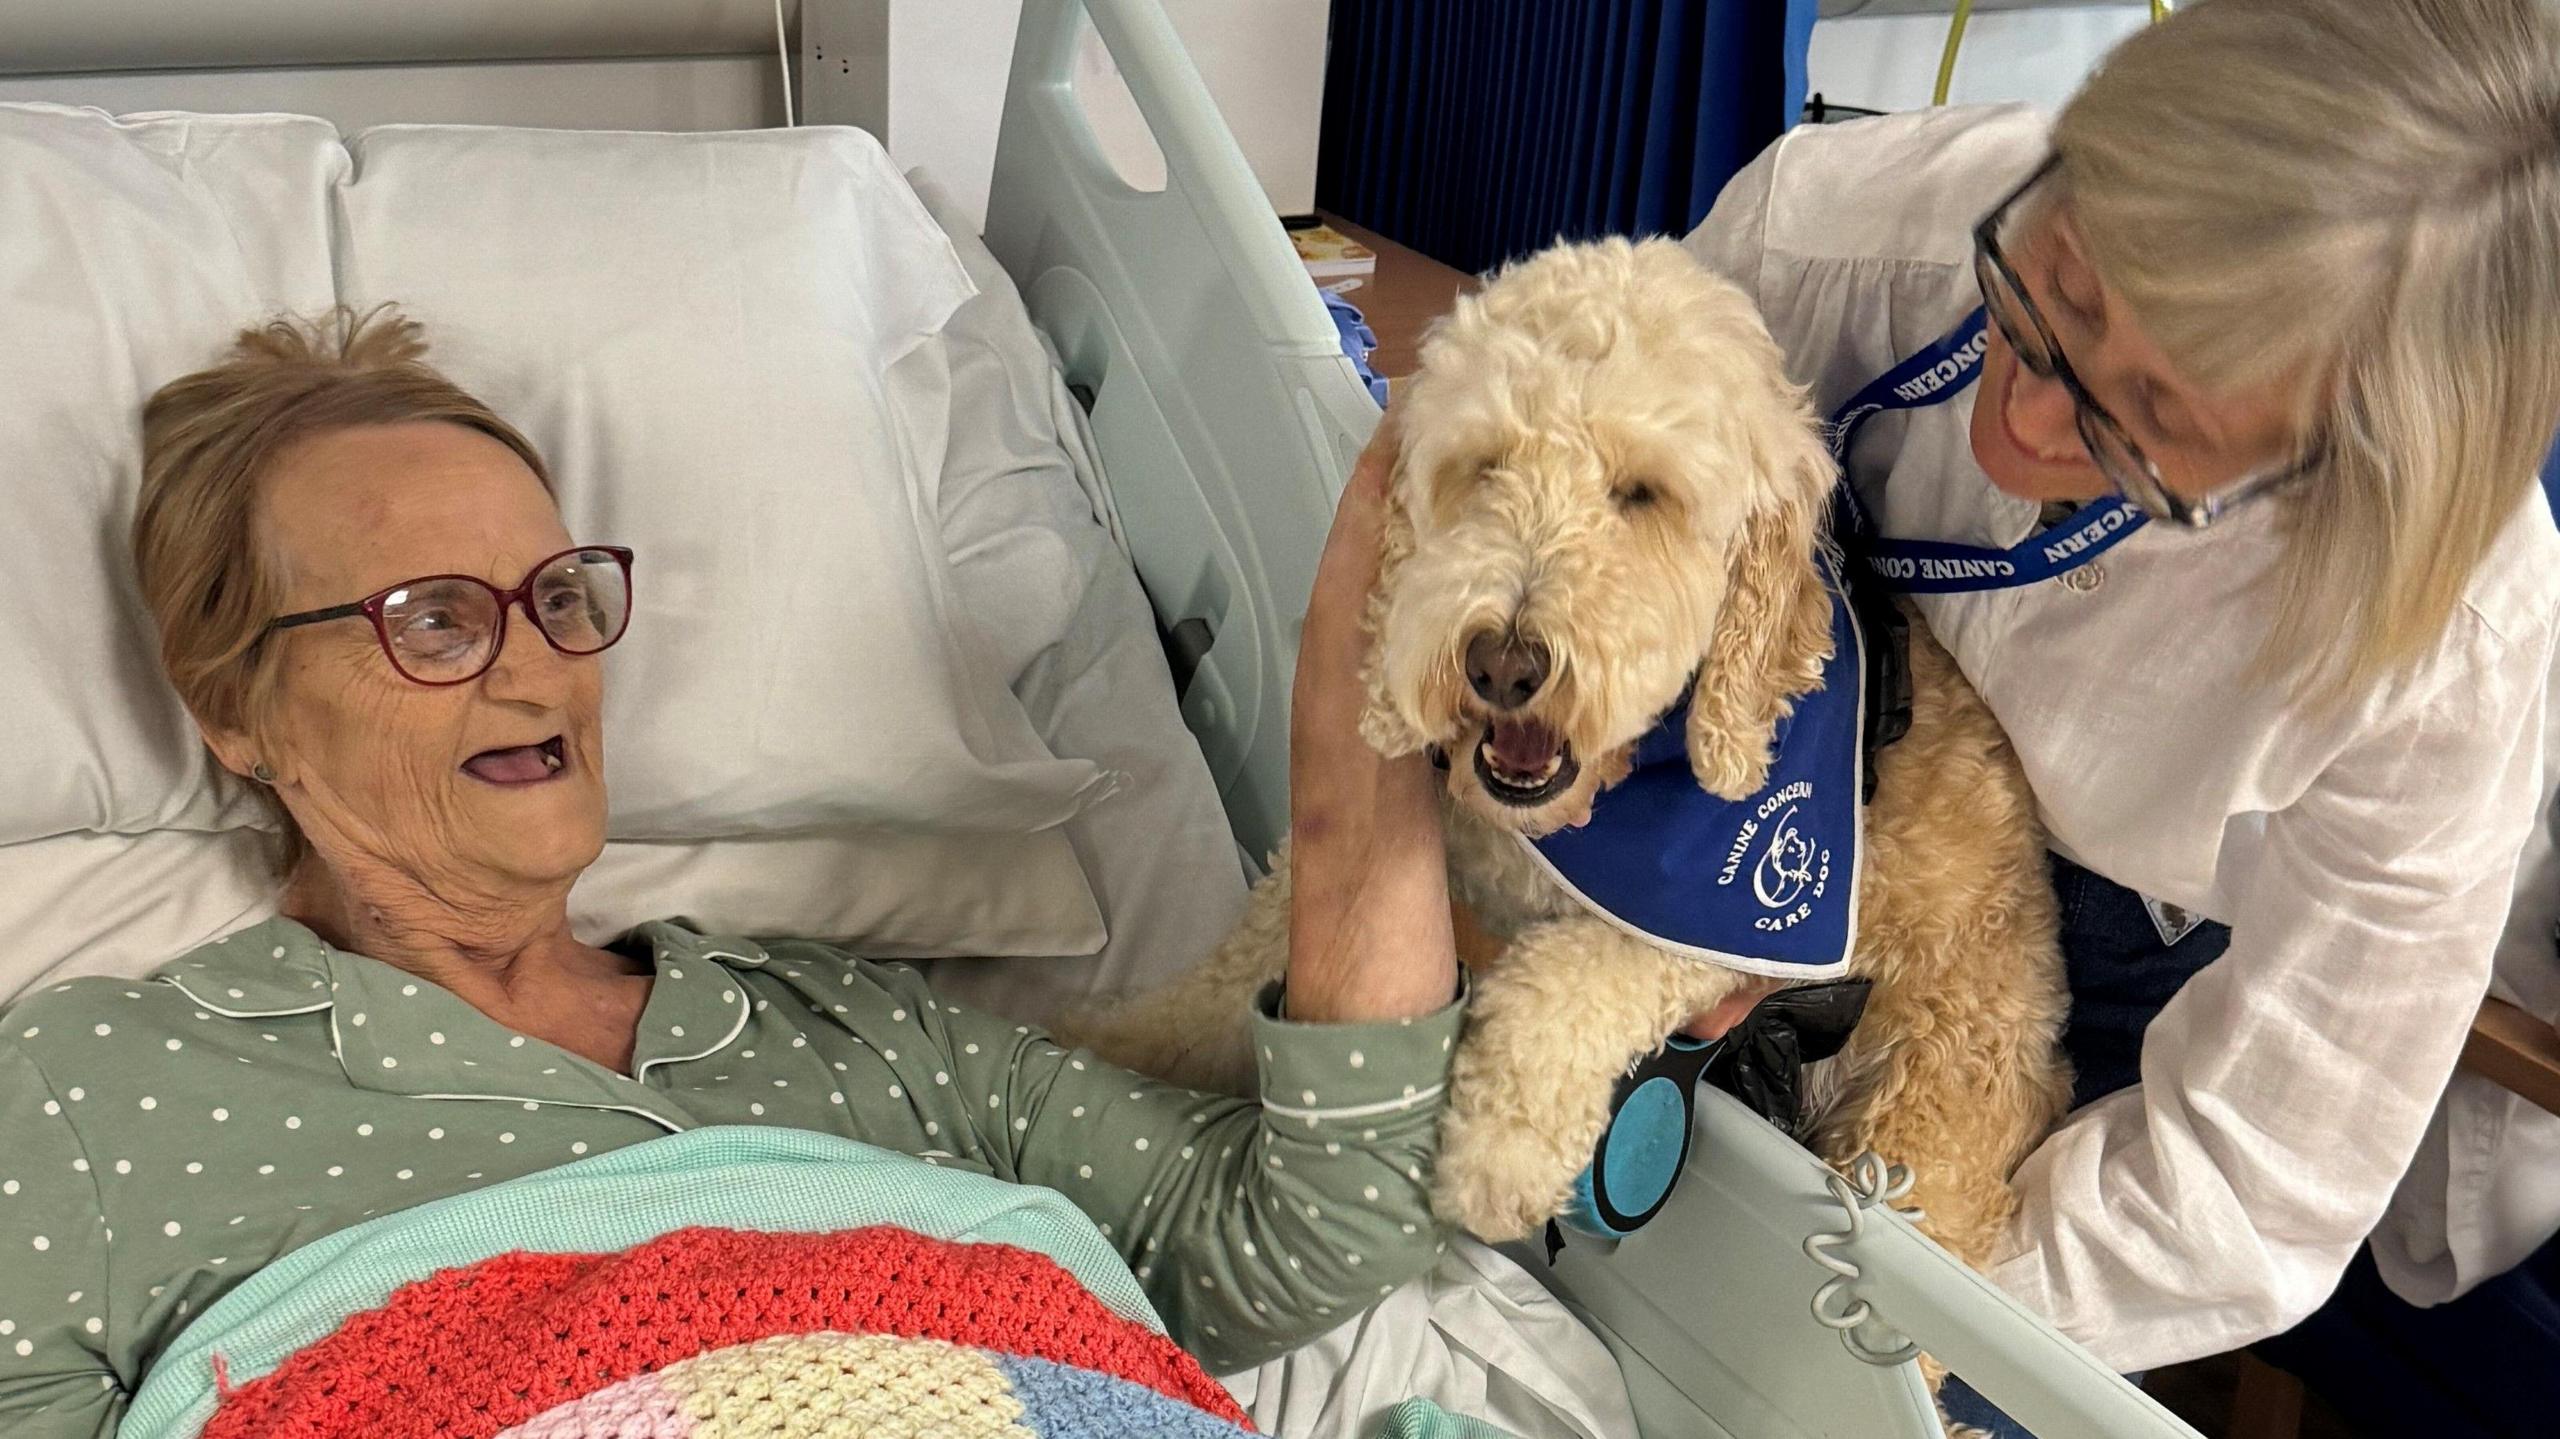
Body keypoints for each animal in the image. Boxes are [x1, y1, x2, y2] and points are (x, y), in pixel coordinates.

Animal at [1070, 235, 2068, 1275]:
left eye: (1642, 493)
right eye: (1485, 467)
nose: (1504, 662)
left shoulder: (1731, 922)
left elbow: (1574, 977)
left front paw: (1497, 1152)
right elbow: (1231, 977)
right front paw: (1104, 1039)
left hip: (1926, 1116)